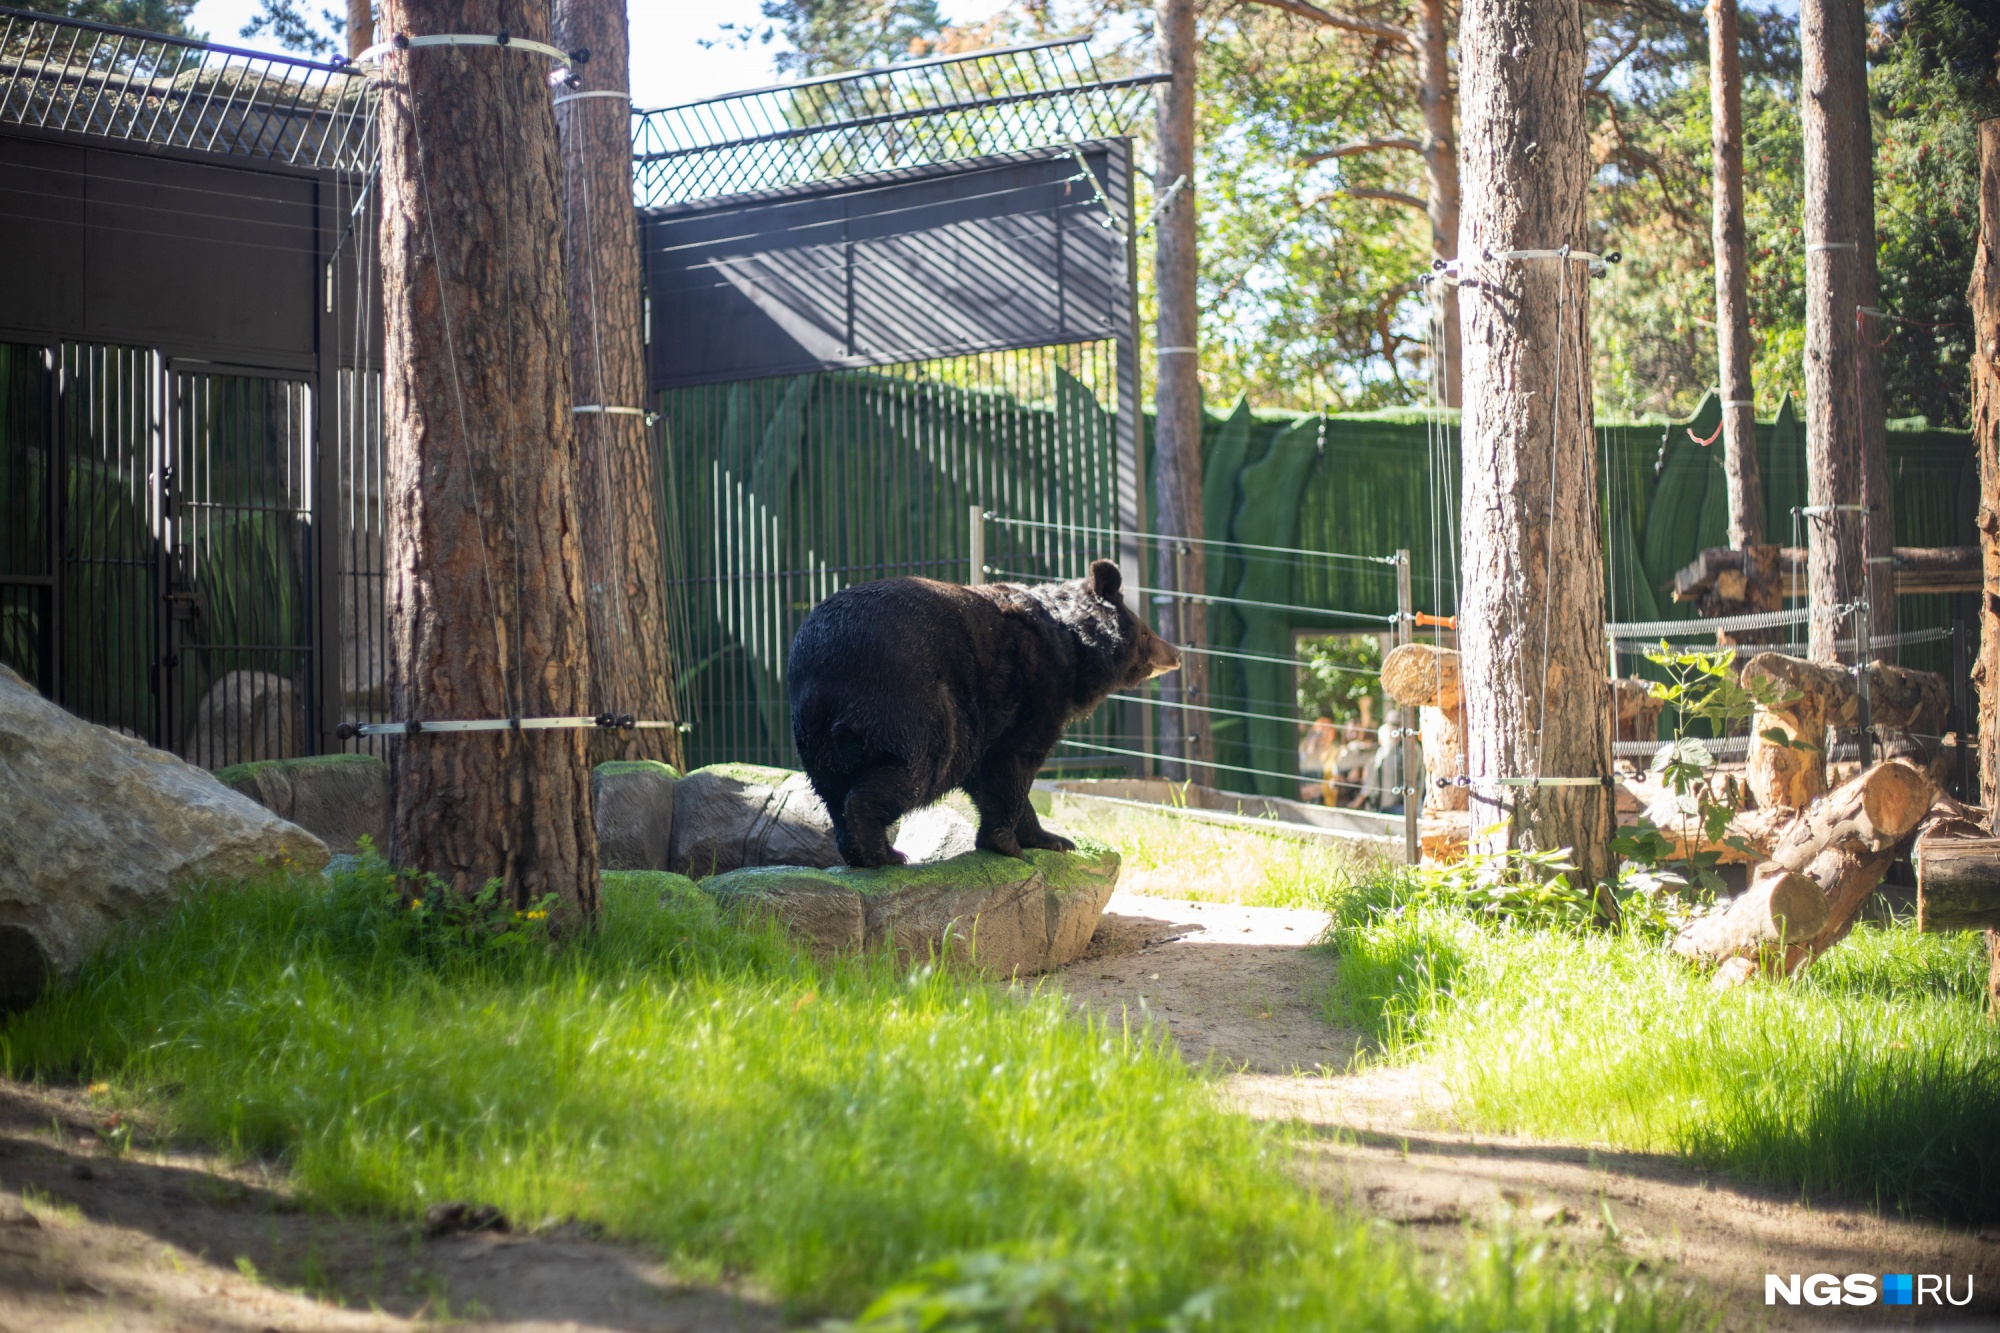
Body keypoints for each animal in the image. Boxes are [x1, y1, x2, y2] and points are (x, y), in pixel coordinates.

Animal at [784, 556, 1184, 868]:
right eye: (1147, 634)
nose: (1177, 653)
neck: (1073, 649)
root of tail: (824, 661)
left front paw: (1052, 839)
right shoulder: (1030, 690)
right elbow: (1012, 765)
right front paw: (1013, 842)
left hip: (815, 735)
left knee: (834, 791)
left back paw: (864, 850)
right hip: (907, 703)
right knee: (913, 770)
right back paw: (881, 851)